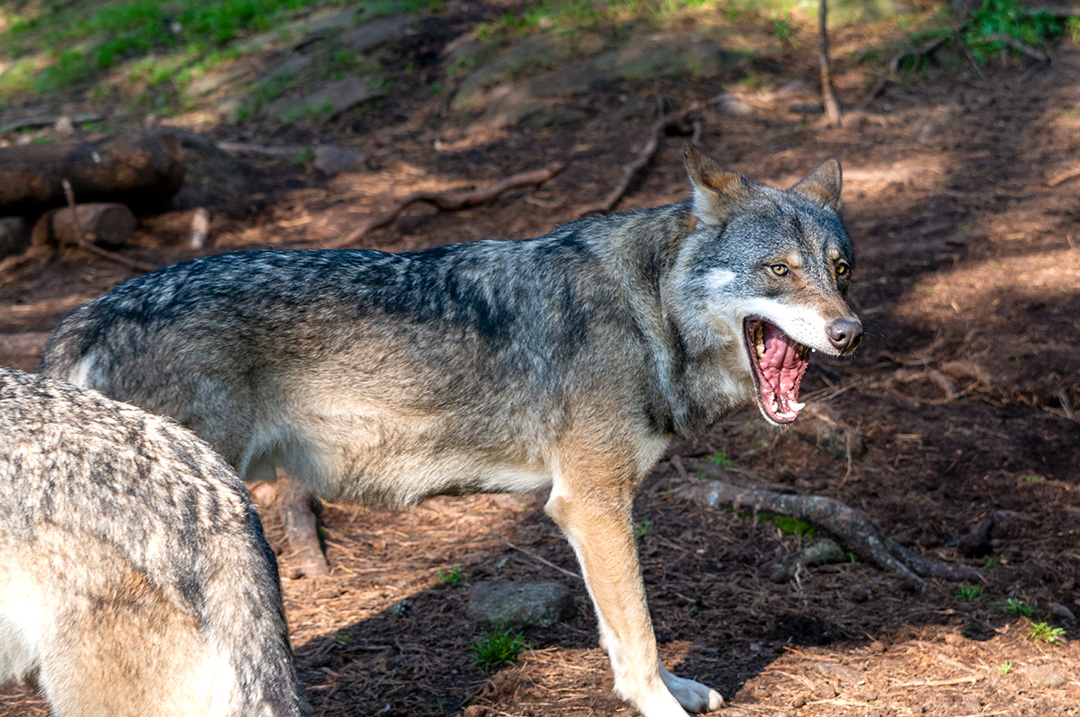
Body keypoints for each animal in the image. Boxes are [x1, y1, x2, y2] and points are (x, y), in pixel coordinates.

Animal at [42, 145, 864, 717]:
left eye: (840, 269)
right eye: (778, 269)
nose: (850, 332)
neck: (646, 309)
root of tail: (86, 317)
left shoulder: (594, 512)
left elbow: (623, 629)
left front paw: (677, 687)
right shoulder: (591, 503)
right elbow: (637, 632)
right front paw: (660, 704)